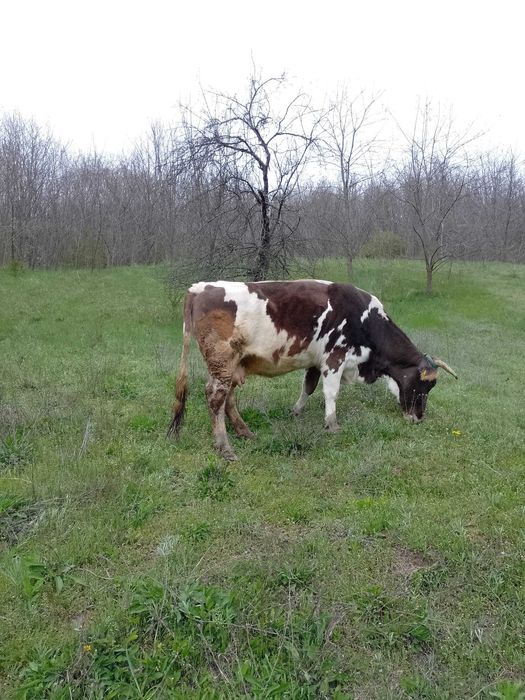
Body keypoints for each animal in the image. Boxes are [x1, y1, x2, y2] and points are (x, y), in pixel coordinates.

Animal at [167, 280, 457, 460]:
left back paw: (244, 431)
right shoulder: (335, 357)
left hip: (232, 365)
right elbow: (331, 393)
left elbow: (309, 386)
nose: (418, 417)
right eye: (424, 385)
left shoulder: (317, 361)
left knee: (228, 398)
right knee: (215, 398)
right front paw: (332, 424)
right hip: (223, 362)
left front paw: (296, 411)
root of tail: (199, 288)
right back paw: (224, 447)